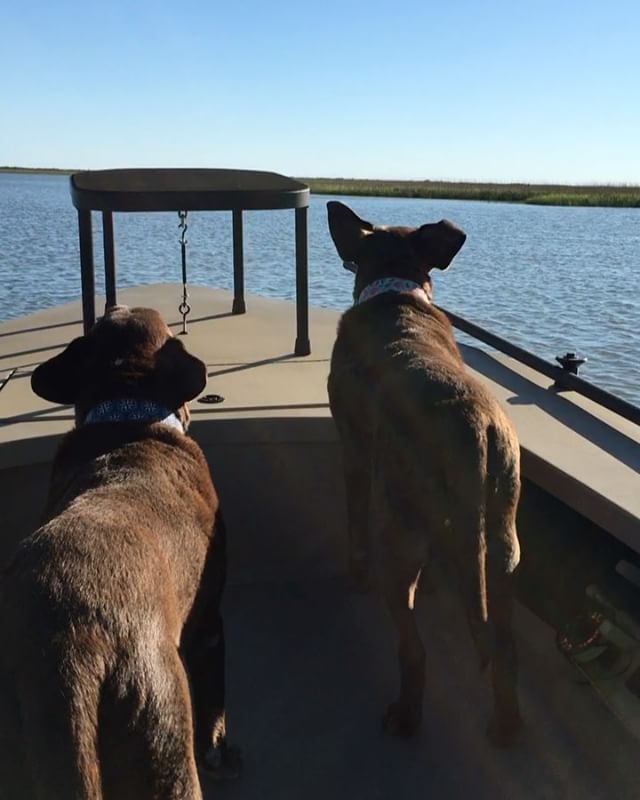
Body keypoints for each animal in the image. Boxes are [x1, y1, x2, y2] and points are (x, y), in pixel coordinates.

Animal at [0, 306, 240, 800]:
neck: (128, 418)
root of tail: (66, 652)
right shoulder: (209, 622)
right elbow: (216, 705)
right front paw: (222, 751)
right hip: (159, 726)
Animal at [328, 203, 524, 748]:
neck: (396, 289)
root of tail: (474, 426)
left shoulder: (354, 447)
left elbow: (353, 521)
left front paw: (352, 572)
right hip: (503, 547)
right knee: (503, 650)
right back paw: (506, 724)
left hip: (399, 543)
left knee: (413, 647)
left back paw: (406, 714)